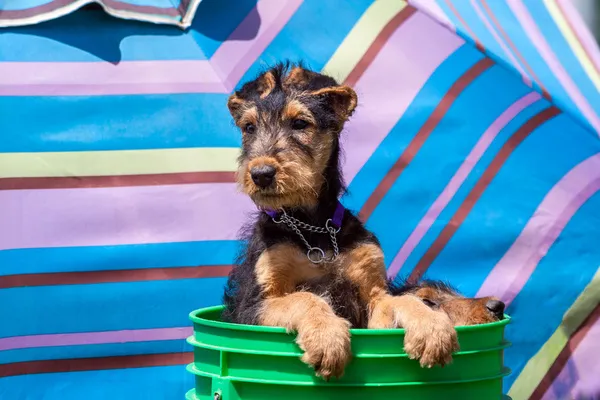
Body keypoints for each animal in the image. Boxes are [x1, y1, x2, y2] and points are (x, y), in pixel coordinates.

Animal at [221, 61, 460, 378]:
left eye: (300, 124)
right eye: (249, 127)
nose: (260, 174)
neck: (313, 225)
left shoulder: (374, 294)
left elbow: (403, 299)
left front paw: (433, 327)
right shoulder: (252, 307)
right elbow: (303, 297)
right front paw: (328, 338)